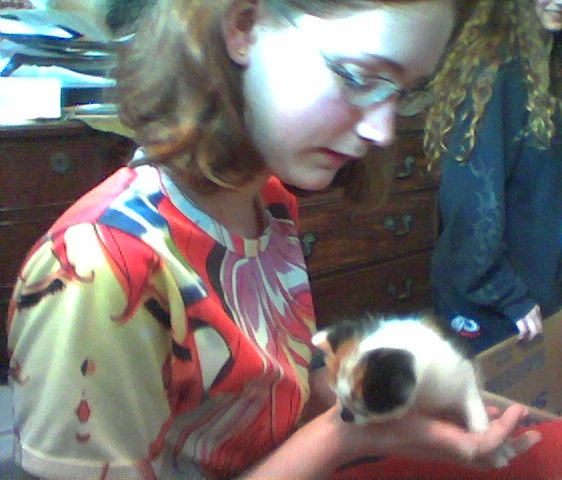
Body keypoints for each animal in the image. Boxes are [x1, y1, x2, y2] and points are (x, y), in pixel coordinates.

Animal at [312, 314, 516, 466]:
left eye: (365, 405)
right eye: (339, 397)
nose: (344, 416)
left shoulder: (463, 378)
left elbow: (474, 411)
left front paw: (494, 448)